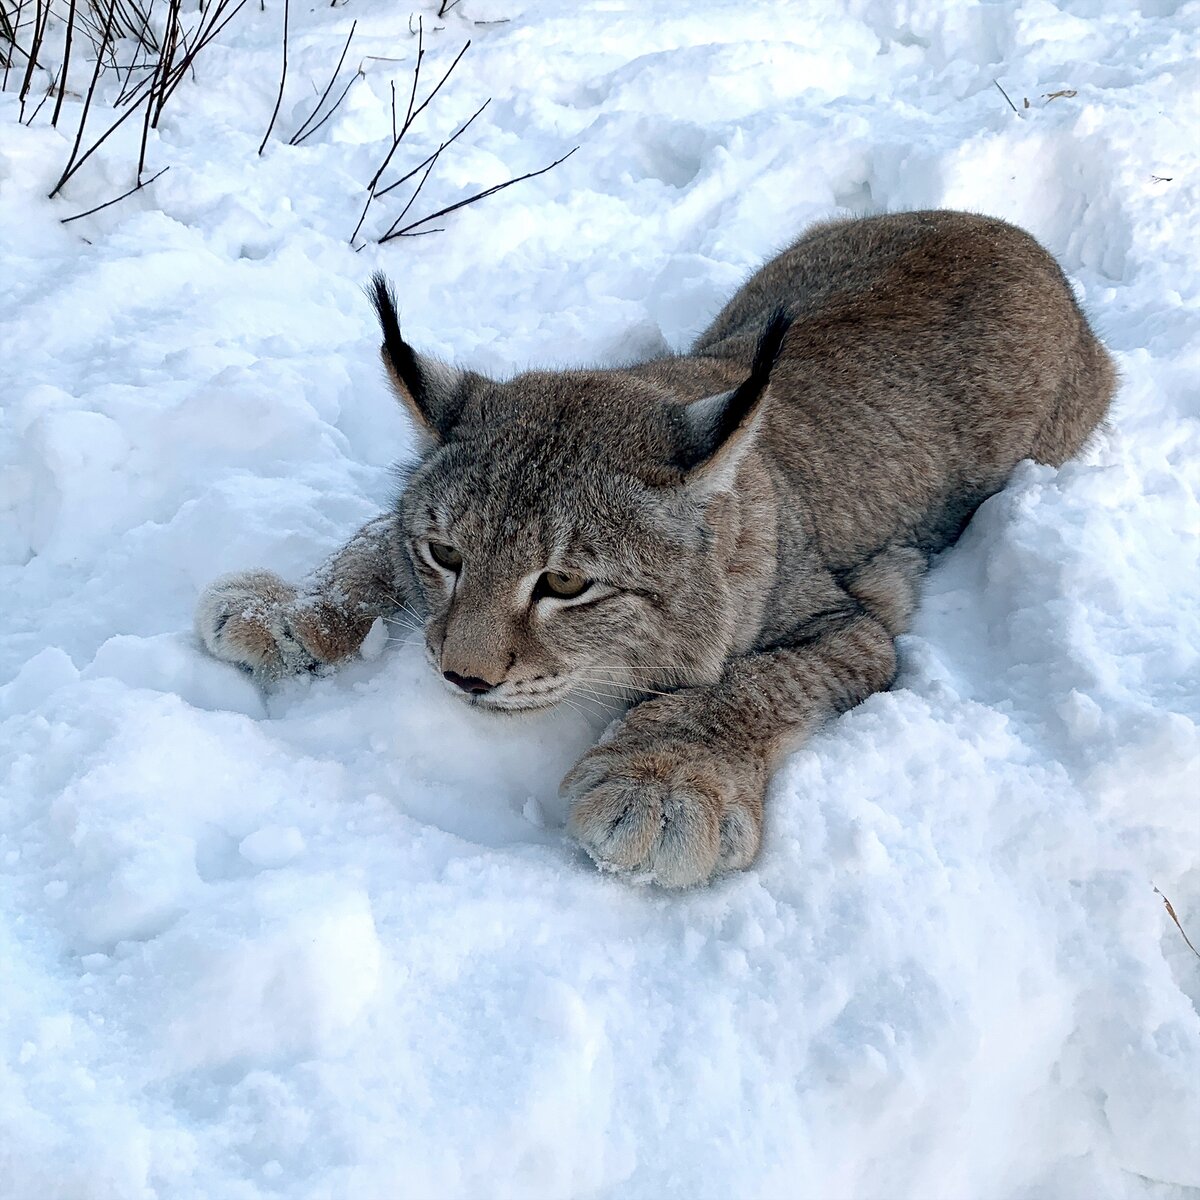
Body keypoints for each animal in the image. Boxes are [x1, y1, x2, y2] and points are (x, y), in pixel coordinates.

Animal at [194, 213, 1113, 892]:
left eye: (566, 582)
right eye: (445, 553)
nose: (462, 677)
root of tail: (997, 227)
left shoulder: (859, 622)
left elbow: (755, 678)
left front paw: (666, 782)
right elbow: (372, 548)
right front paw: (293, 609)